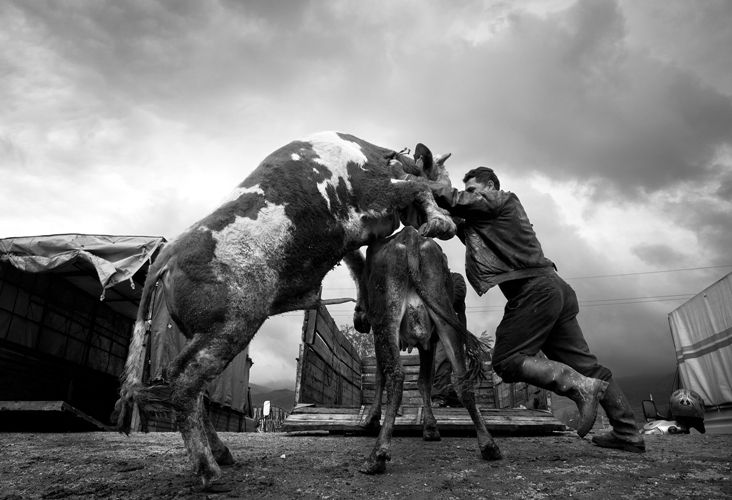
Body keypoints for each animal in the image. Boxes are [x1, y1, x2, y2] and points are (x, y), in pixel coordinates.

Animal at [113, 131, 458, 486]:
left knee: (185, 383)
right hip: (232, 325)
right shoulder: (379, 192)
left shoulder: (354, 237)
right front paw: (442, 223)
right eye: (445, 179)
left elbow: (358, 264)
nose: (455, 200)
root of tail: (166, 257)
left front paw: (362, 312)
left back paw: (223, 454)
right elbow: (418, 186)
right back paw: (210, 471)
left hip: (204, 334)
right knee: (184, 385)